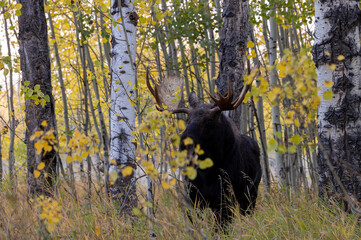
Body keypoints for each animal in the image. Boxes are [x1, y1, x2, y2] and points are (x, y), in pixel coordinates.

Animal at [146, 70, 262, 226]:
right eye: (187, 120)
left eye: (210, 121)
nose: (184, 142)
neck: (207, 173)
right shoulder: (194, 198)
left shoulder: (225, 199)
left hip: (251, 193)